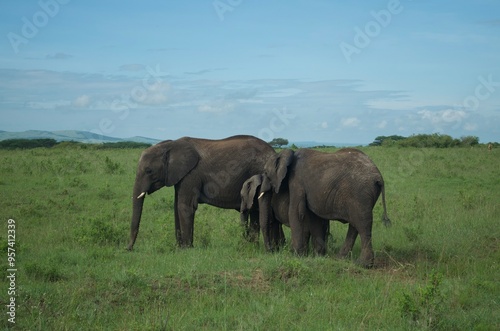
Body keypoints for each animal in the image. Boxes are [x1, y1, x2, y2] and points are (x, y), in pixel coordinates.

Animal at [127, 135, 276, 252]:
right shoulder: (181, 176)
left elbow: (184, 207)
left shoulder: (191, 174)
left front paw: (186, 249)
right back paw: (253, 248)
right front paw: (179, 248)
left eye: (149, 171)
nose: (128, 249)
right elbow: (176, 207)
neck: (171, 145)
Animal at [260, 149, 392, 268]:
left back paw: (364, 264)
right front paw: (319, 256)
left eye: (266, 172)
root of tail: (378, 176)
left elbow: (296, 212)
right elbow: (314, 217)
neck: (288, 154)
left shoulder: (296, 181)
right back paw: (341, 259)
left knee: (362, 224)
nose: (270, 251)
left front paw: (296, 255)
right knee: (355, 225)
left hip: (361, 193)